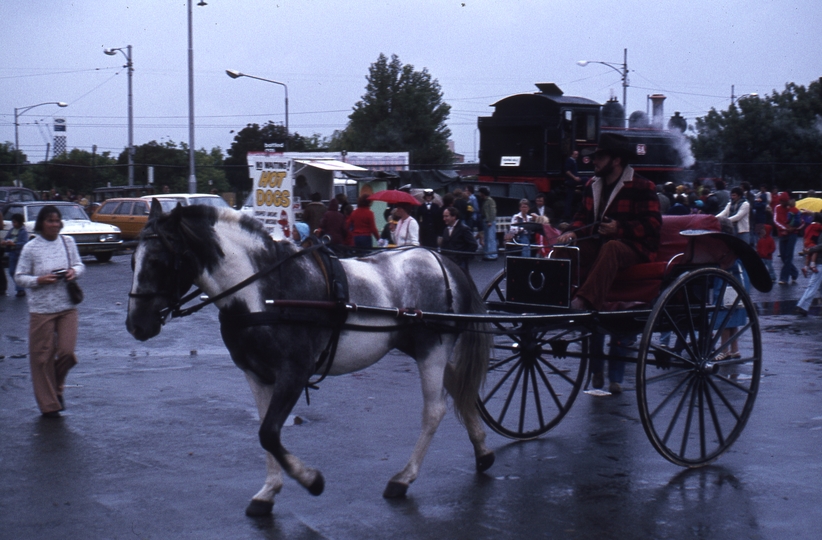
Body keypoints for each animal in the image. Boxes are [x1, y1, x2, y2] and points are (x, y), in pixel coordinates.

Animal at [123, 200, 496, 516]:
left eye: (157, 261)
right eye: (132, 261)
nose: (136, 325)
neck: (263, 292)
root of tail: (444, 262)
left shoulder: (294, 371)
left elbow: (269, 433)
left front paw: (311, 480)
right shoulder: (256, 374)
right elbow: (265, 430)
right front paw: (268, 491)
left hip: (432, 347)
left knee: (434, 410)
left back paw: (403, 477)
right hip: (419, 346)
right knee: (461, 389)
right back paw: (482, 450)